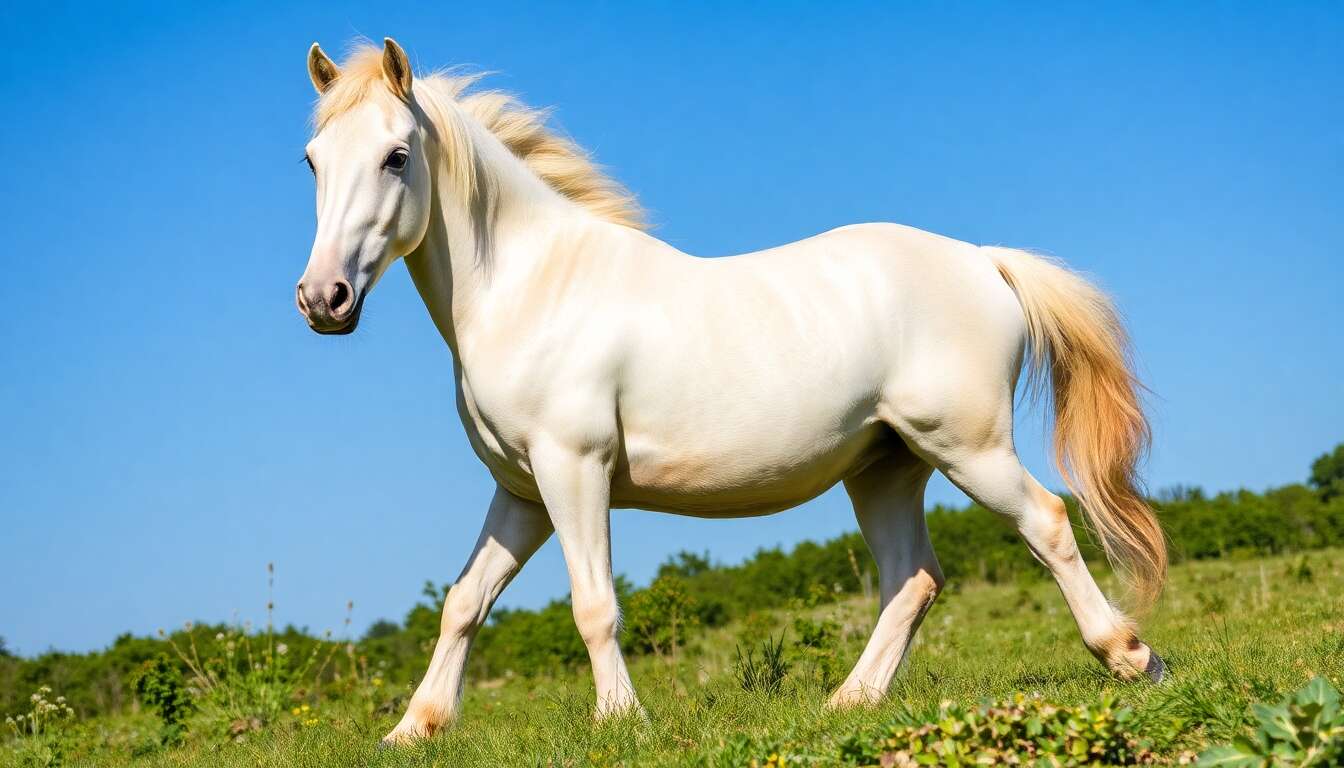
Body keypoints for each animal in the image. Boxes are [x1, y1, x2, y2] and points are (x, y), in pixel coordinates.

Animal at [296, 38, 1167, 746]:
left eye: (396, 156)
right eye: (312, 159)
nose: (322, 299)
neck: (534, 286)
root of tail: (984, 260)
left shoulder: (573, 469)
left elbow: (592, 603)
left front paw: (621, 721)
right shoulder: (523, 490)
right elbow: (464, 601)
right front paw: (414, 728)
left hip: (968, 448)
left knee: (1046, 521)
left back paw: (1131, 655)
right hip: (886, 467)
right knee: (913, 577)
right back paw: (848, 702)